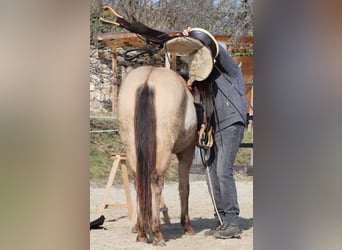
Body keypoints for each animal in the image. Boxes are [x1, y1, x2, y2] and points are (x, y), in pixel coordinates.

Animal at [117, 65, 198, 246]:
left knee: (139, 181)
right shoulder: (187, 152)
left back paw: (141, 231)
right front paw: (187, 225)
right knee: (156, 180)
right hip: (163, 146)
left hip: (132, 145)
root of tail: (147, 81)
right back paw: (157, 233)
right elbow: (184, 187)